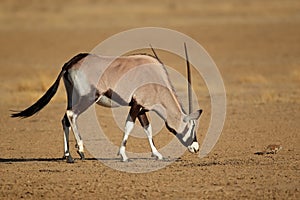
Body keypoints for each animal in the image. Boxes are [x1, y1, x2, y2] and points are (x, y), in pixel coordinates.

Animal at [12, 45, 204, 162]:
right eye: (192, 126)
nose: (196, 148)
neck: (156, 78)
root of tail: (71, 62)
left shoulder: (142, 108)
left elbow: (147, 129)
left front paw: (157, 154)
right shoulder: (136, 106)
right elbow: (129, 126)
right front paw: (123, 155)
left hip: (72, 96)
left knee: (64, 119)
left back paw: (68, 156)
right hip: (88, 97)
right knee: (71, 114)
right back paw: (80, 150)